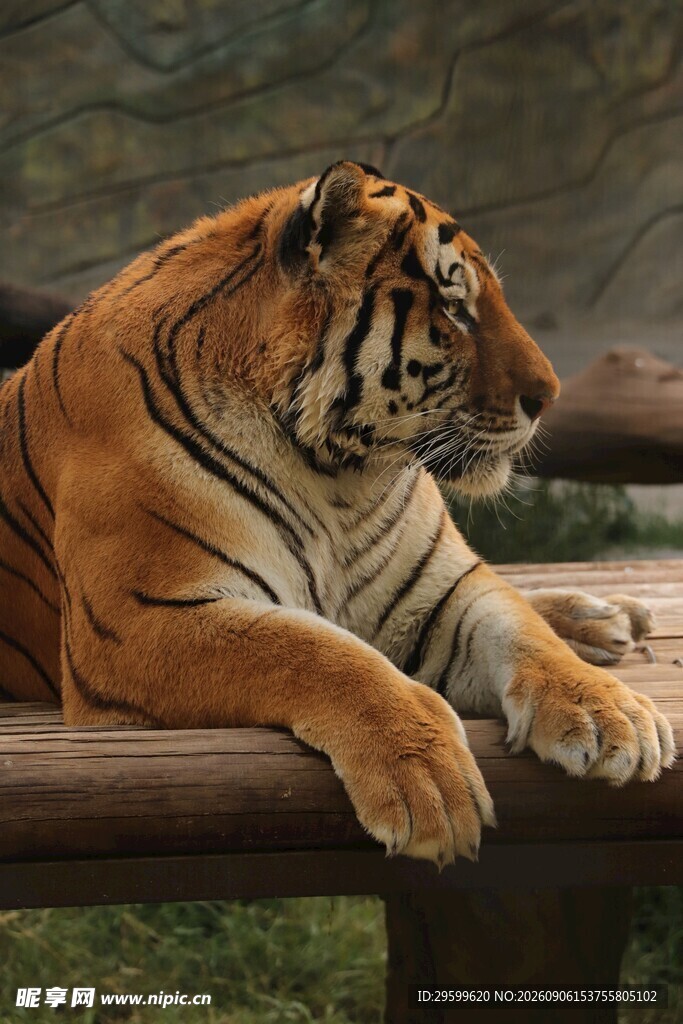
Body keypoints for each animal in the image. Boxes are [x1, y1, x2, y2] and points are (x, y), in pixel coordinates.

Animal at [0, 160, 674, 866]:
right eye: (454, 308)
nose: (550, 396)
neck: (337, 477)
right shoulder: (138, 621)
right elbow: (317, 651)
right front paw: (428, 779)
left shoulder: (440, 589)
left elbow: (518, 629)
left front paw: (611, 717)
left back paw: (604, 618)